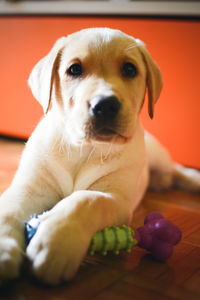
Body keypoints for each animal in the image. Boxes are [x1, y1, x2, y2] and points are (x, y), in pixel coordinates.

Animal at [0, 28, 200, 286]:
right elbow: (8, 209)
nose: (105, 105)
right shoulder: (30, 187)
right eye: (74, 69)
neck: (84, 148)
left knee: (177, 170)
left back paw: (190, 180)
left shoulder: (116, 198)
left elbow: (86, 200)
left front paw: (57, 239)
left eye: (129, 69)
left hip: (159, 157)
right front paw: (4, 248)